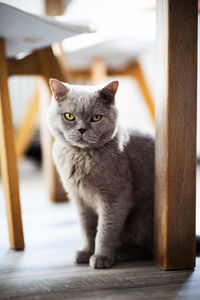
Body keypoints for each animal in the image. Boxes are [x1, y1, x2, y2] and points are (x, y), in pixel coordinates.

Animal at [47, 78, 155, 268]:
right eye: (69, 116)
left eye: (96, 118)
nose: (82, 129)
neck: (81, 156)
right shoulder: (79, 199)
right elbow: (87, 229)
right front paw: (85, 252)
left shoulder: (115, 198)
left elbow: (105, 231)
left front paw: (101, 257)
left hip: (143, 214)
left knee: (145, 248)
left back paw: (121, 254)